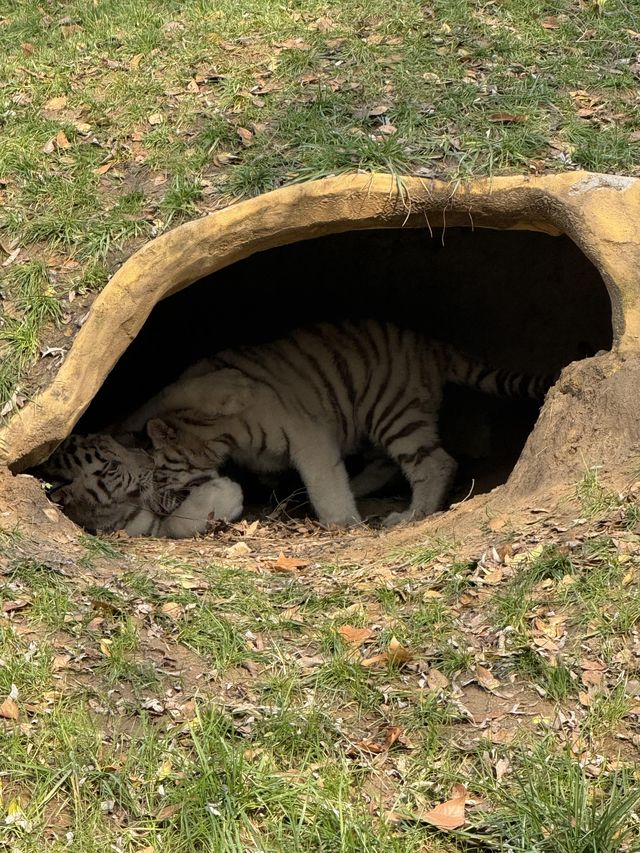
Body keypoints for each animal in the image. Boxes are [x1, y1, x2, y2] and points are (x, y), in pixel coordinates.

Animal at [37, 430, 242, 536]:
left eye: (110, 439)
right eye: (113, 465)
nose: (150, 461)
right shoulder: (150, 530)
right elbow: (178, 522)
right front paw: (228, 492)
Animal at [116, 316, 552, 524]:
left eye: (155, 474)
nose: (156, 509)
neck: (220, 437)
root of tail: (429, 344)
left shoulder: (305, 433)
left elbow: (323, 481)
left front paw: (342, 523)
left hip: (392, 411)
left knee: (435, 463)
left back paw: (409, 516)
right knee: (386, 464)